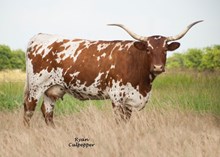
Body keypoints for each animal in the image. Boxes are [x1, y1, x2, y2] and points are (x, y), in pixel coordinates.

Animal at [23, 20, 203, 126]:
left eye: (165, 50)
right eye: (148, 49)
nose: (158, 67)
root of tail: (39, 36)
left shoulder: (130, 100)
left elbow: (126, 122)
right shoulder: (117, 98)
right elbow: (119, 122)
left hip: (52, 89)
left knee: (47, 112)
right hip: (36, 87)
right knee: (29, 109)